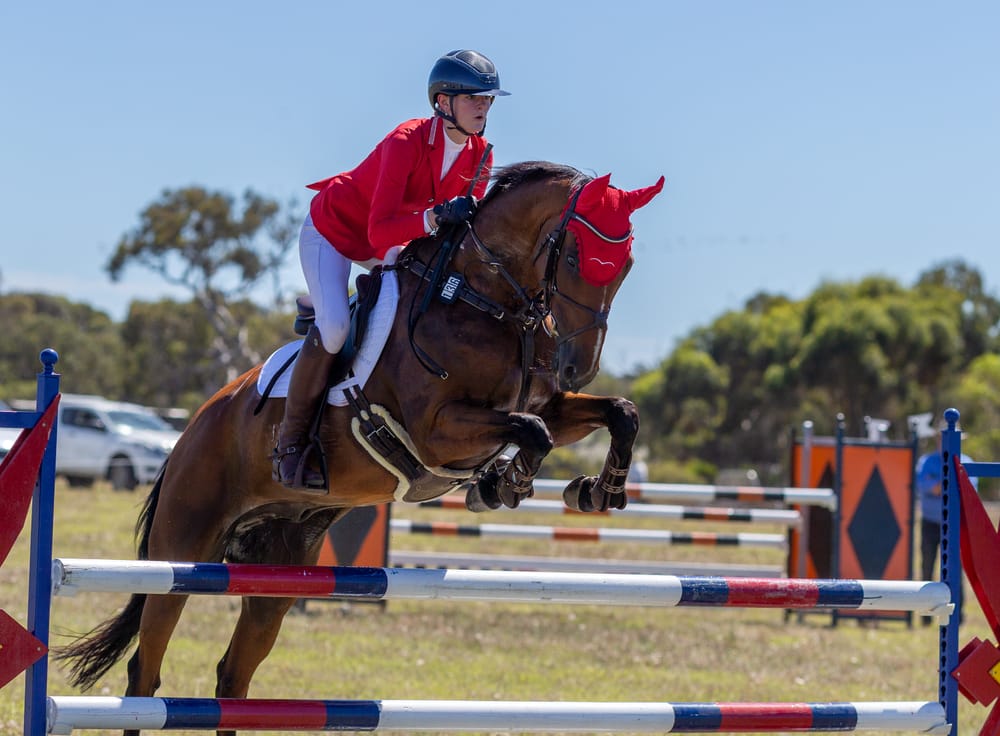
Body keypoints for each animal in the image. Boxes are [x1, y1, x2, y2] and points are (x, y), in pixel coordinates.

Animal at [56, 160, 664, 735]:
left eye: (628, 265)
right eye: (577, 256)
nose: (578, 366)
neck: (482, 302)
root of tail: (189, 432)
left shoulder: (547, 403)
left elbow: (616, 413)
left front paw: (597, 491)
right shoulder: (436, 429)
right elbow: (531, 431)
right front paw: (502, 485)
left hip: (278, 567)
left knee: (233, 677)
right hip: (180, 553)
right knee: (146, 672)